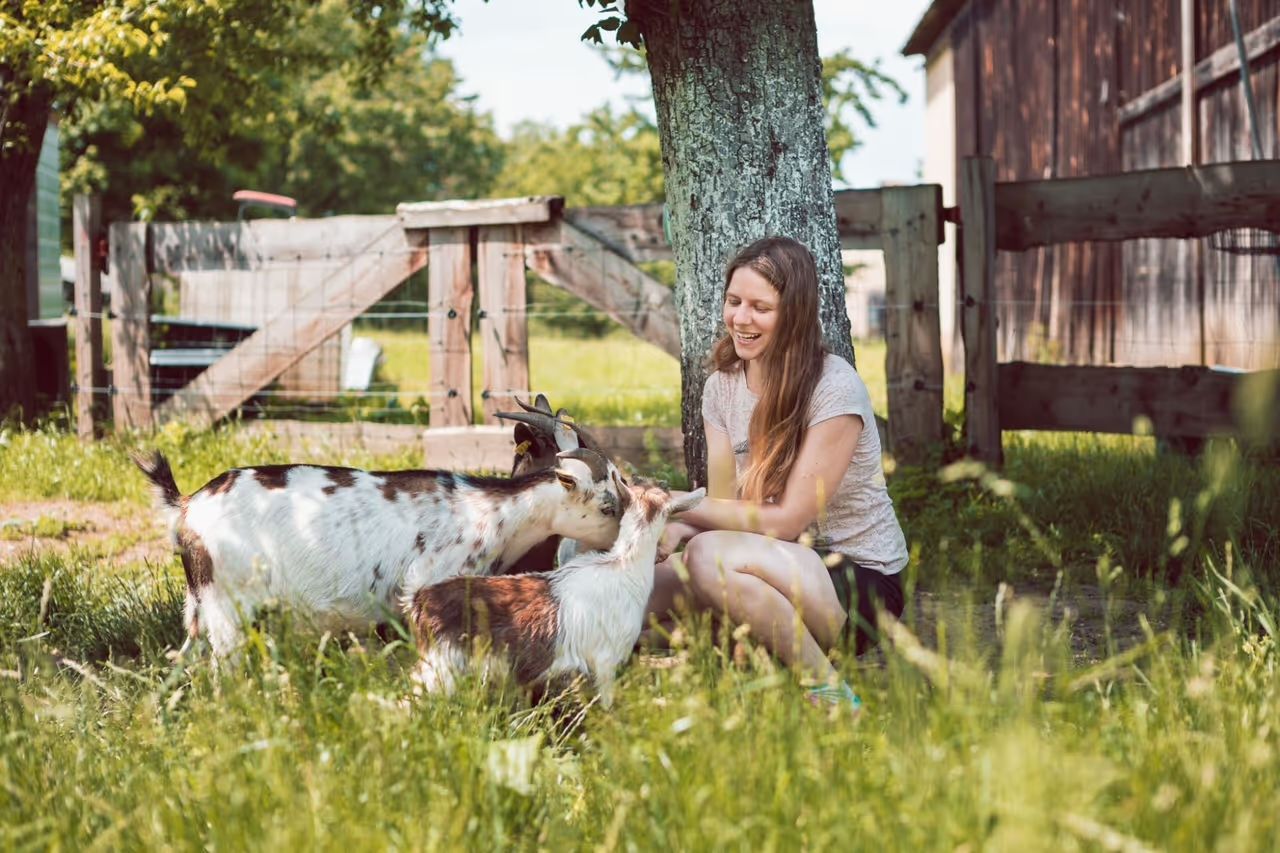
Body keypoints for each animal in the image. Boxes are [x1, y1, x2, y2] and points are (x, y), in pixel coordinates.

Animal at [132, 445, 622, 655]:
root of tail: (186, 505)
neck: (491, 510)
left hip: (199, 606)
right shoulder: (429, 585)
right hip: (228, 607)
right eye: (608, 505)